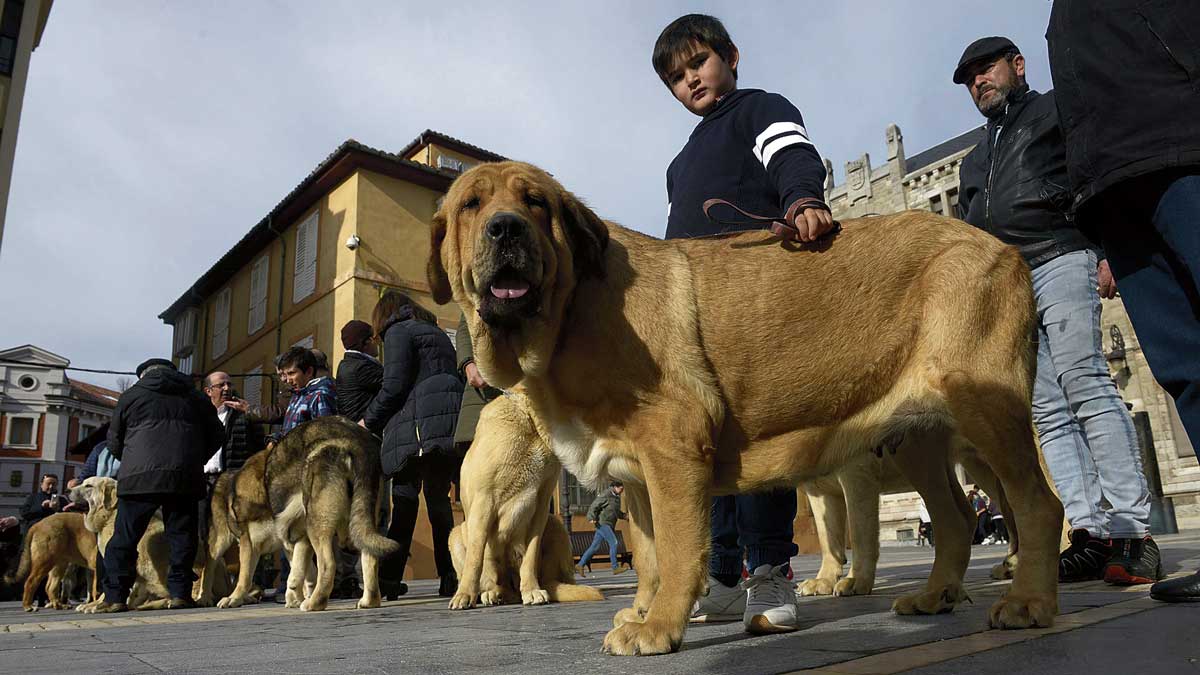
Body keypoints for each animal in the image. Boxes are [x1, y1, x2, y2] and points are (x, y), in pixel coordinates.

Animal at [427, 162, 1065, 653]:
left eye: (535, 202)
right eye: (471, 205)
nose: (505, 229)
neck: (569, 315)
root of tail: (1001, 245)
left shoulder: (673, 453)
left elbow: (680, 553)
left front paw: (658, 629)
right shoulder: (637, 479)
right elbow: (650, 558)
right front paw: (644, 611)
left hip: (988, 412)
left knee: (1038, 505)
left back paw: (1028, 600)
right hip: (920, 440)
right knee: (956, 518)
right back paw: (935, 597)